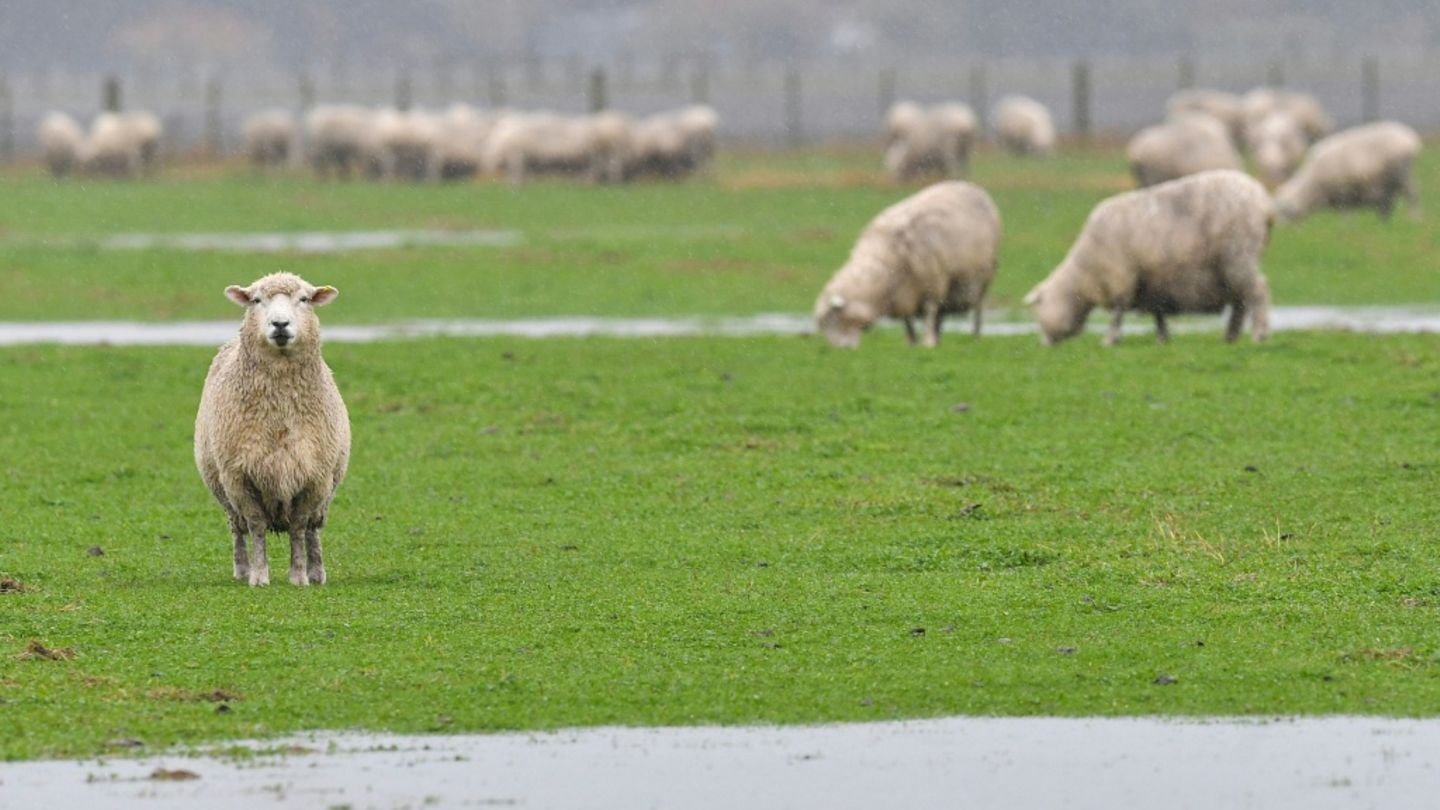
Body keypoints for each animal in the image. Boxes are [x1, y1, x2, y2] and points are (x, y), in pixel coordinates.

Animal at [194, 272, 350, 587]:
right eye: (256, 300)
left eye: (304, 299)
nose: (280, 324)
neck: (279, 411)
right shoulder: (239, 477)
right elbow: (256, 527)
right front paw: (259, 575)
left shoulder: (314, 477)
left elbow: (299, 528)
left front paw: (299, 575)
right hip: (225, 495)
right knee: (238, 530)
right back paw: (242, 570)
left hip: (325, 495)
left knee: (314, 531)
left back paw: (317, 572)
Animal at [814, 180, 1001, 348]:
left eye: (831, 319)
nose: (842, 349)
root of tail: (974, 188)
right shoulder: (904, 293)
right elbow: (908, 320)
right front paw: (912, 342)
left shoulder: (931, 285)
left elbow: (929, 312)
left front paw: (927, 343)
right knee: (941, 313)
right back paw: (939, 339)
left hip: (983, 278)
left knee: (977, 309)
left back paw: (975, 335)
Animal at [1024, 169, 1272, 346]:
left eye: (1038, 311)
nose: (1044, 344)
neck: (1083, 275)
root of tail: (1262, 200)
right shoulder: (1153, 281)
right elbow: (1157, 312)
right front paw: (1162, 339)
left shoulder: (1121, 278)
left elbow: (1117, 314)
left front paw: (1110, 340)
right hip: (1234, 267)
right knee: (1240, 302)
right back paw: (1230, 337)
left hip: (1238, 256)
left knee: (1257, 292)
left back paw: (1258, 334)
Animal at [1273, 121, 1422, 223]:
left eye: (1284, 211)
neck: (1312, 185)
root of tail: (1410, 138)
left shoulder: (1343, 190)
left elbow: (1345, 212)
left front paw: (1346, 228)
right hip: (1391, 182)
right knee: (1389, 204)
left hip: (1403, 174)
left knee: (1412, 196)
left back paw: (1414, 218)